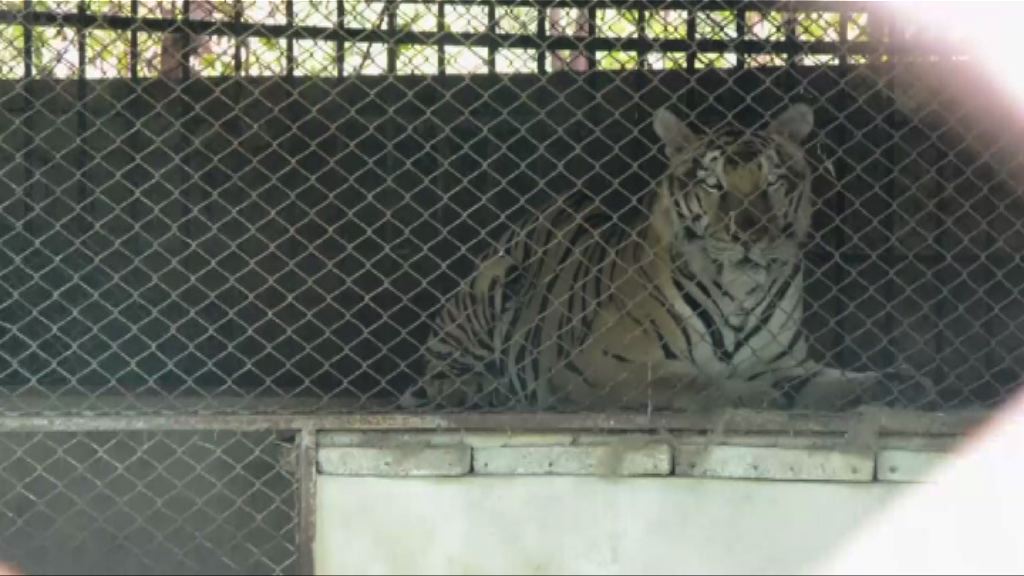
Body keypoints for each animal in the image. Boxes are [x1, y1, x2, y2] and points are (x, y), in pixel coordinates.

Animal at [403, 103, 934, 412]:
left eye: (772, 183)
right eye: (714, 184)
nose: (749, 235)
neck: (740, 293)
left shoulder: (789, 362)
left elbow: (837, 379)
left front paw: (897, 384)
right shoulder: (601, 365)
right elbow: (699, 385)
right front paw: (757, 396)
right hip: (491, 281)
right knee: (439, 367)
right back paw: (473, 390)